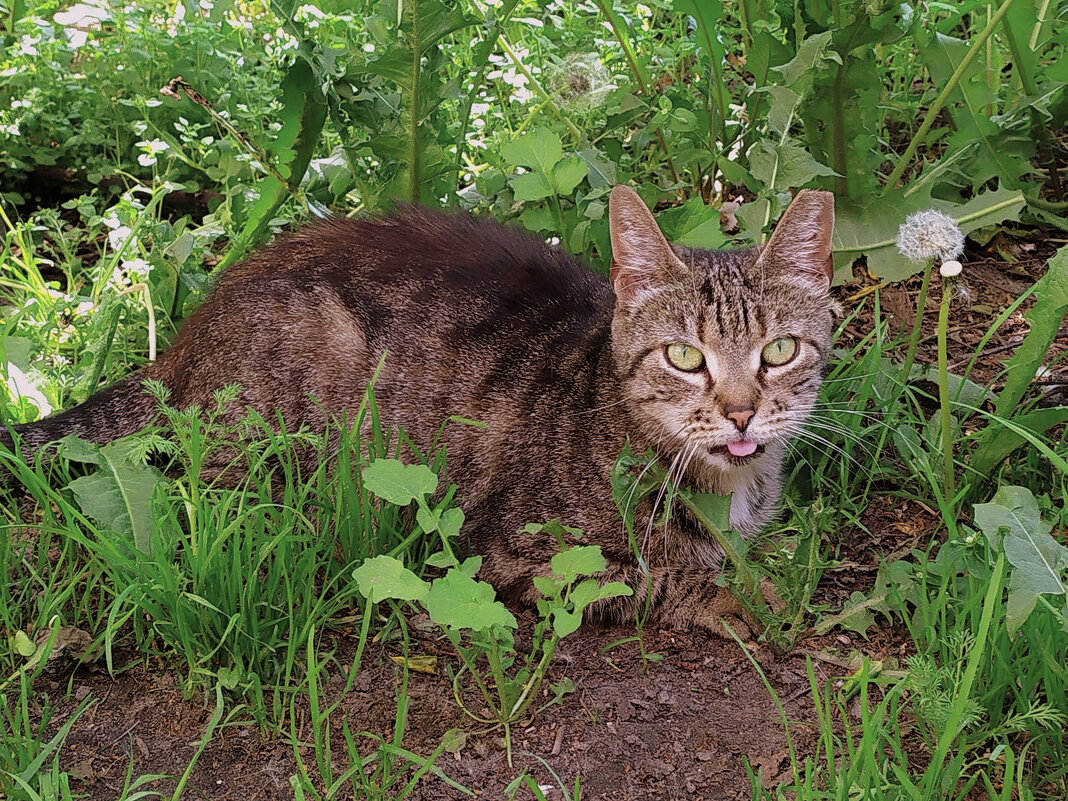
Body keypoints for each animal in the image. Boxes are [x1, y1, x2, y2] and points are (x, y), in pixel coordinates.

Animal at [6, 187, 833, 640]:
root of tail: (182, 338)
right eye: (685, 356)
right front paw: (744, 595)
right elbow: (646, 574)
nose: (741, 413)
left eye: (780, 350)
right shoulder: (522, 554)